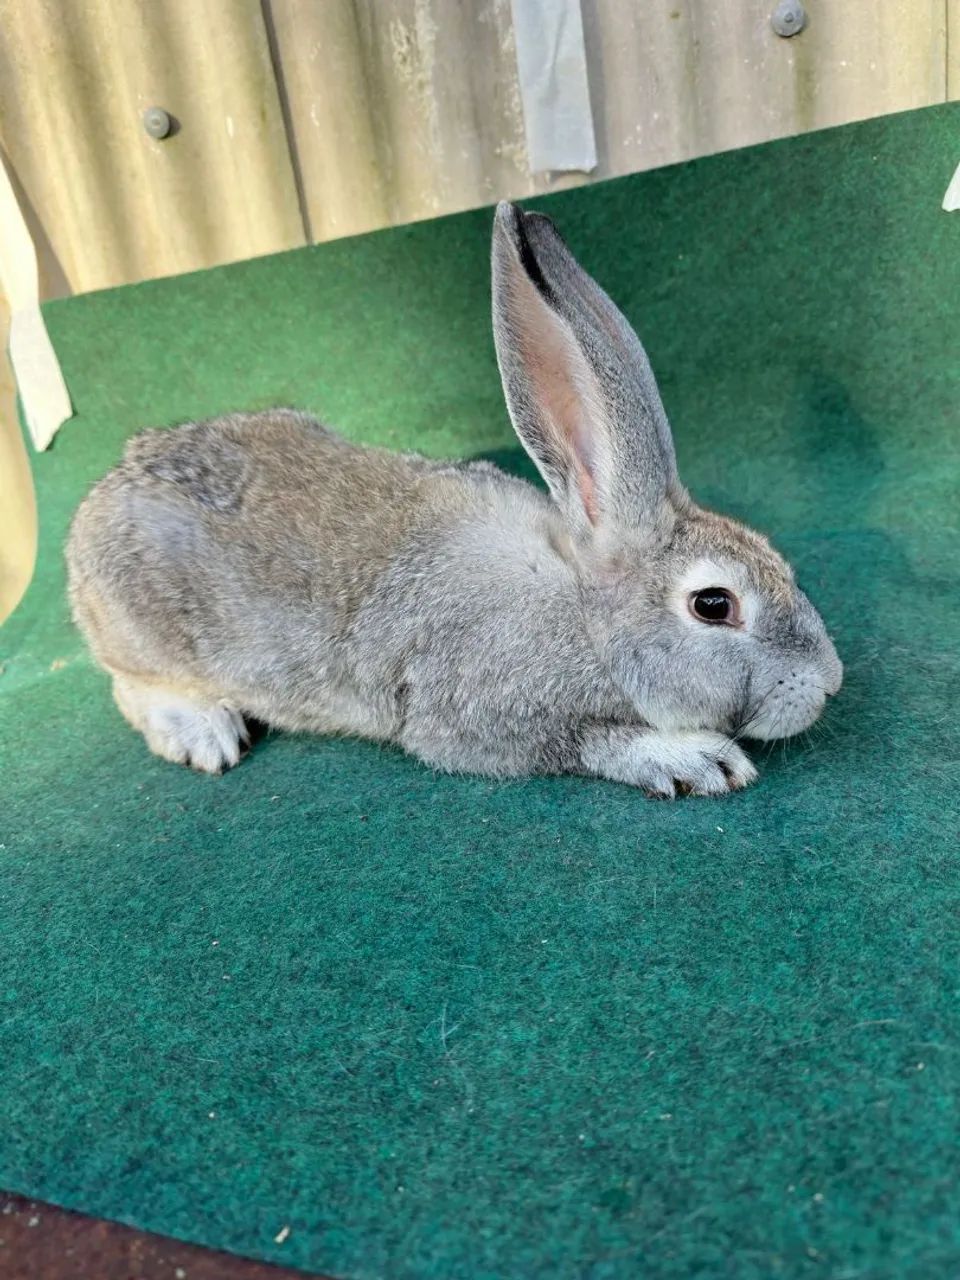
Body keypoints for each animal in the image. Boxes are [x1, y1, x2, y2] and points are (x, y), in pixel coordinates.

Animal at [66, 201, 841, 796]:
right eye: (713, 605)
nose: (830, 682)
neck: (584, 612)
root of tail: (99, 502)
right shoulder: (479, 718)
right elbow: (588, 744)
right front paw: (695, 758)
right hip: (144, 633)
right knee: (131, 685)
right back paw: (206, 732)